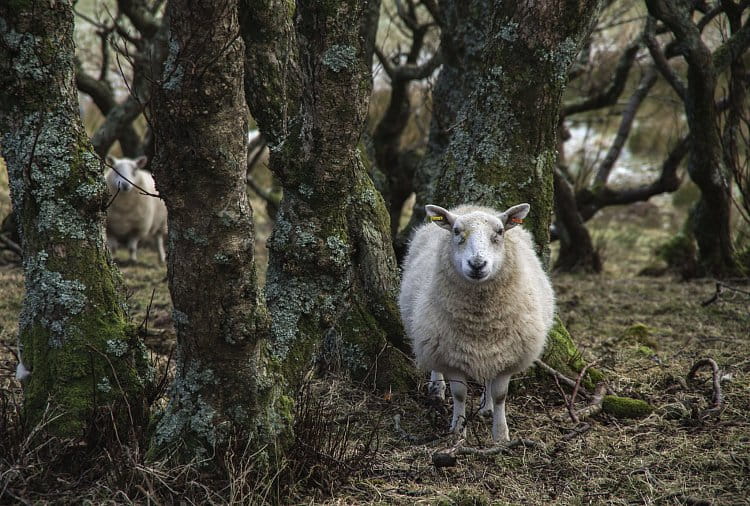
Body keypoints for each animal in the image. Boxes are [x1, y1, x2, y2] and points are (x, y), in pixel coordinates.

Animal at [400, 204, 560, 440]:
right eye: (456, 231)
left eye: (500, 232)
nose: (477, 264)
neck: (480, 322)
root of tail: (471, 206)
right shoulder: (450, 355)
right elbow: (459, 394)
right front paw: (458, 430)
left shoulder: (508, 355)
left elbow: (500, 394)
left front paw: (501, 435)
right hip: (429, 335)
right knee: (434, 363)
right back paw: (437, 388)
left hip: (493, 352)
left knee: (487, 379)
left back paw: (487, 407)